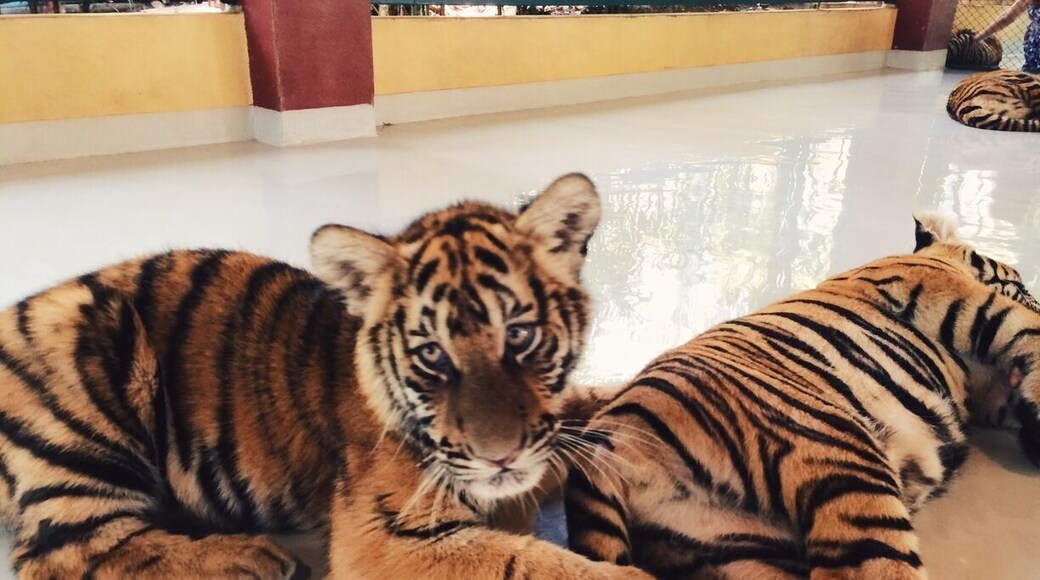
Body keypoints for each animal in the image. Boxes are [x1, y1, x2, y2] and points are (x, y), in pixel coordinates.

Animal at [0, 173, 649, 579]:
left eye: (518, 336)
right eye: (432, 355)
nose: (501, 458)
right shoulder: (388, 537)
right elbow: (537, 563)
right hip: (86, 358)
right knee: (62, 552)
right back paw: (251, 560)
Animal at [564, 211, 1040, 579]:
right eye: (1019, 282)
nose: (1032, 294)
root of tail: (607, 441)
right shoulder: (959, 298)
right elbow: (1024, 328)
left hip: (730, 543)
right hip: (840, 461)